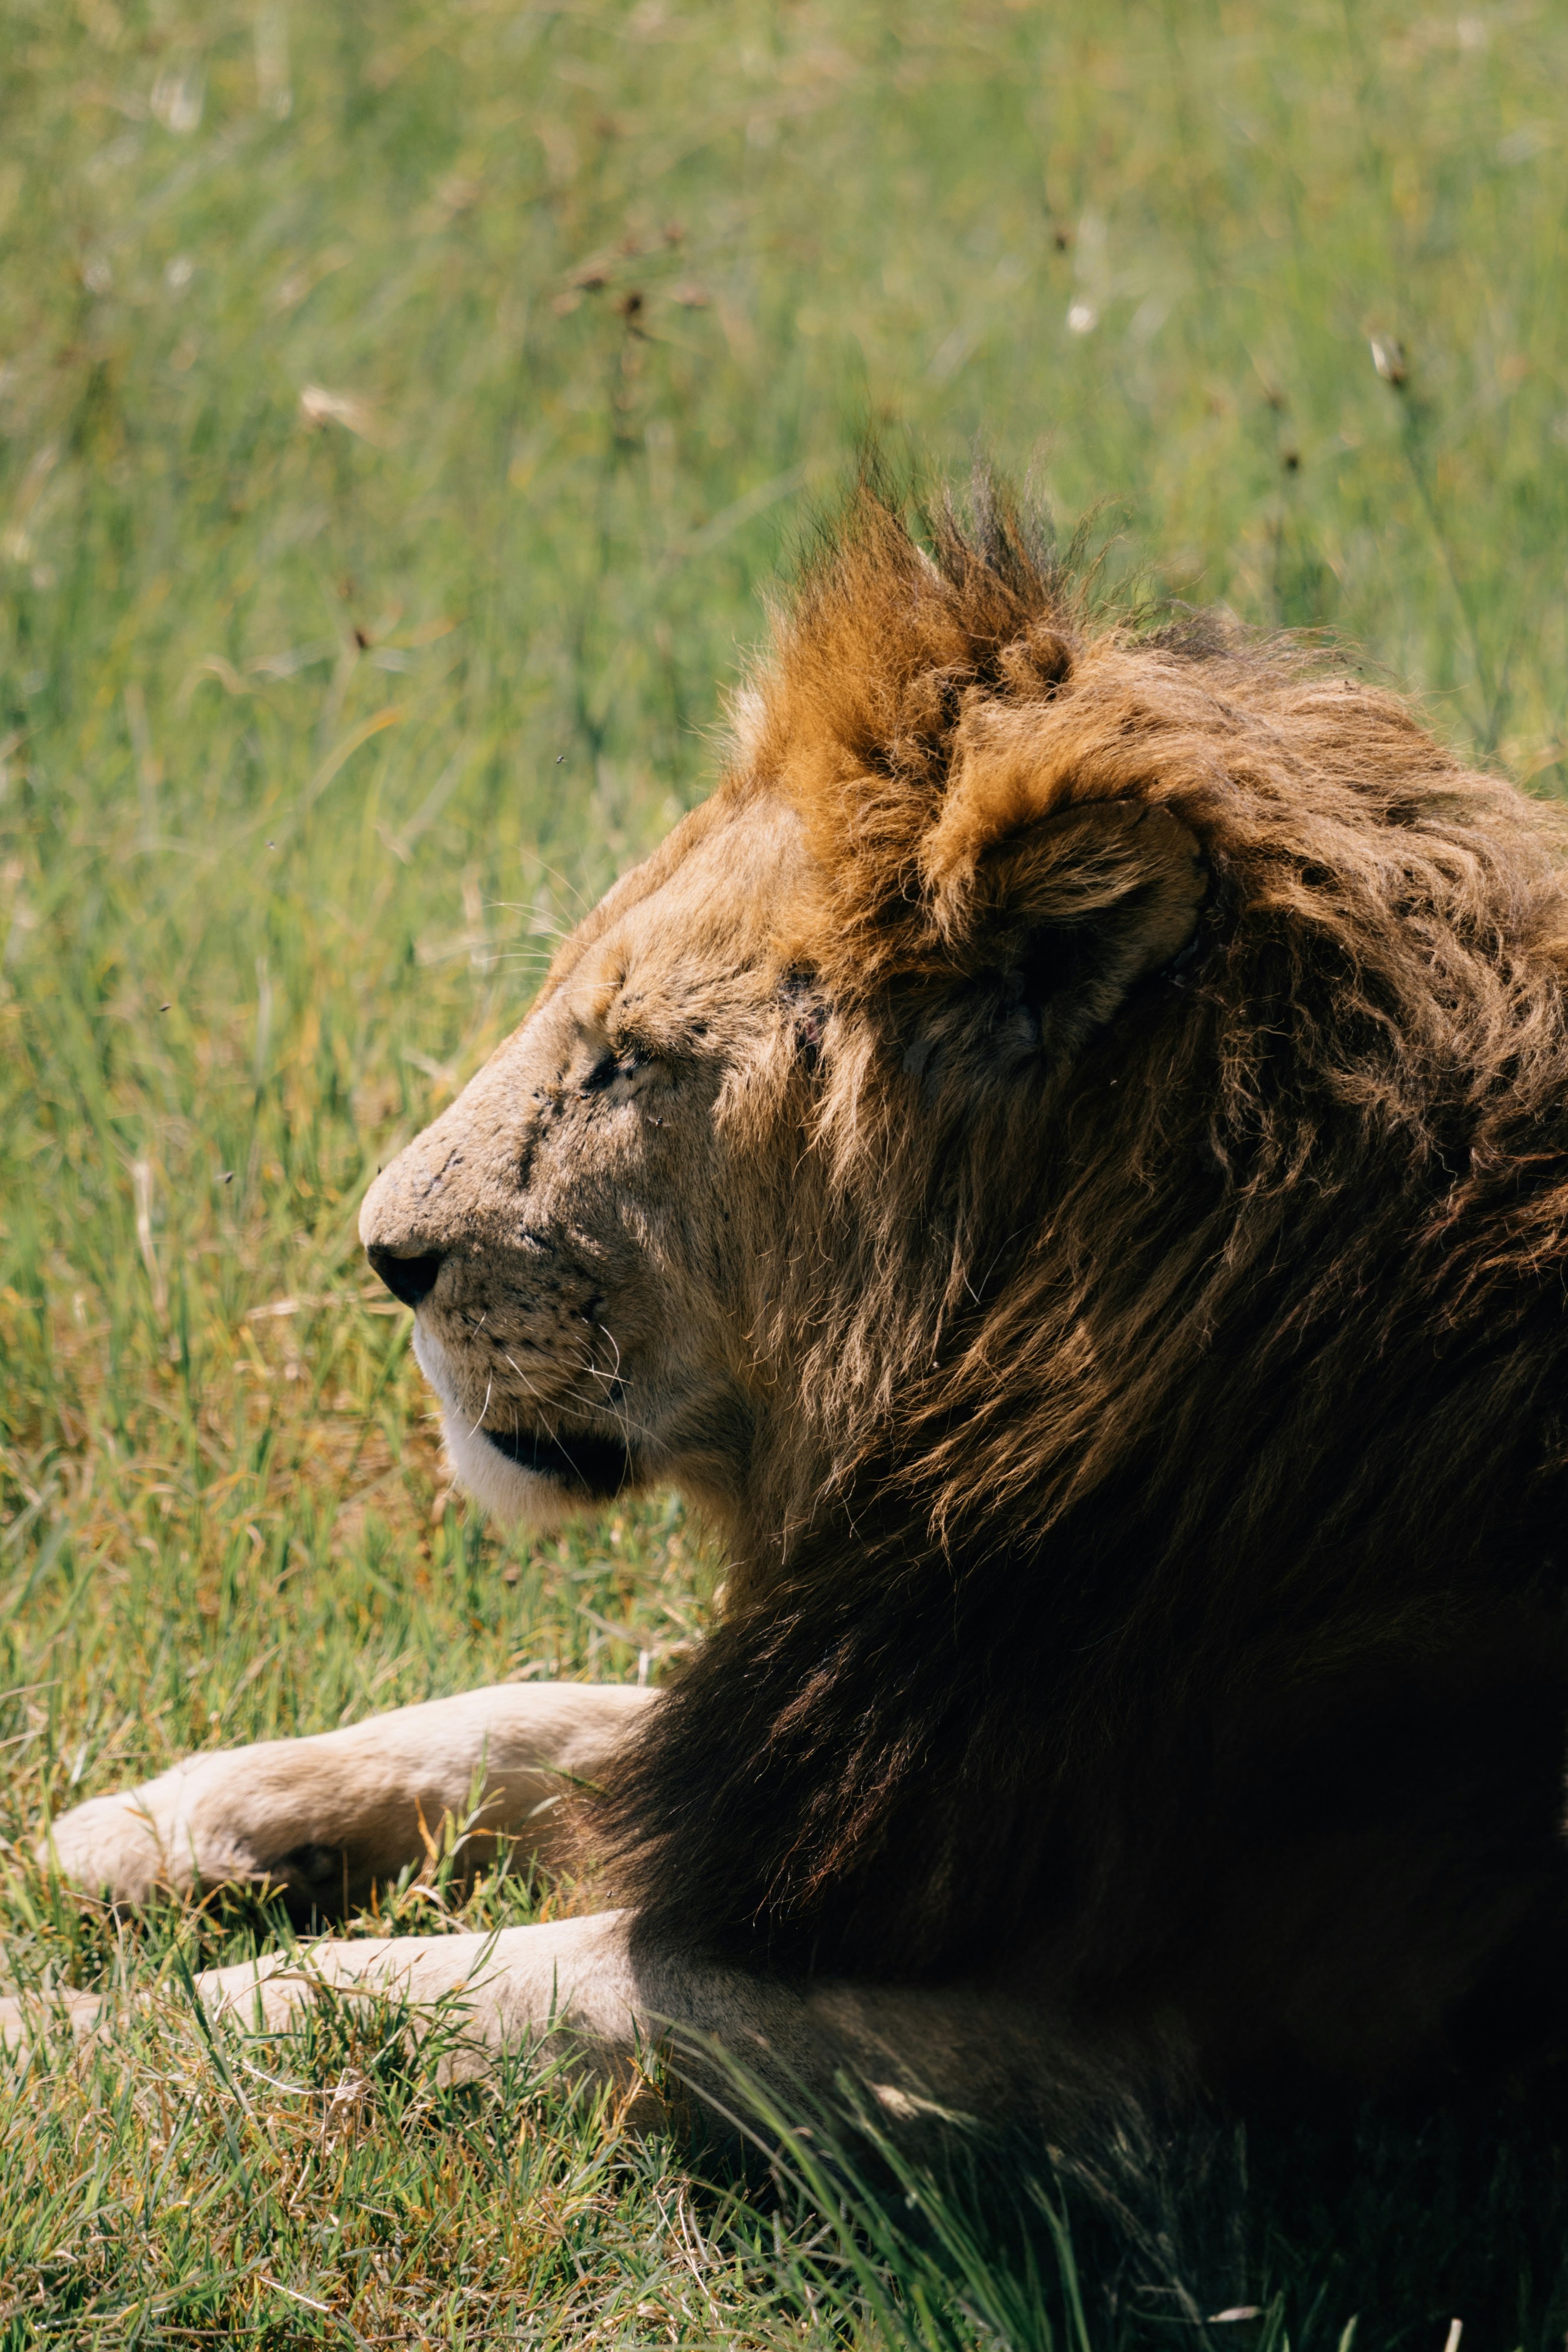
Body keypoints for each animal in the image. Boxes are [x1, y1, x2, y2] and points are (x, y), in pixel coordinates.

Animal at [22, 481, 1568, 2132]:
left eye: (625, 1058)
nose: (380, 1254)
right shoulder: (838, 1744)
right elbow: (537, 1709)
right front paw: (169, 1814)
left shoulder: (1140, 2044)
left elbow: (447, 1987)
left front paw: (64, 2031)